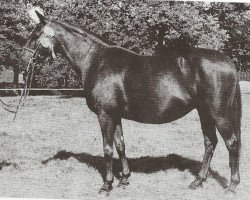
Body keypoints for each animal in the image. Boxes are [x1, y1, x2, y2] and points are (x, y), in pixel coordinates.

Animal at [20, 10, 242, 195]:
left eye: (36, 34)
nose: (21, 61)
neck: (96, 61)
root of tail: (229, 62)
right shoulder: (115, 115)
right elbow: (120, 145)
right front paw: (124, 180)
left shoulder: (105, 114)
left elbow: (107, 148)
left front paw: (106, 185)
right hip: (204, 113)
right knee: (210, 143)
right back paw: (198, 181)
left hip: (219, 114)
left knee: (231, 143)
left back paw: (232, 186)